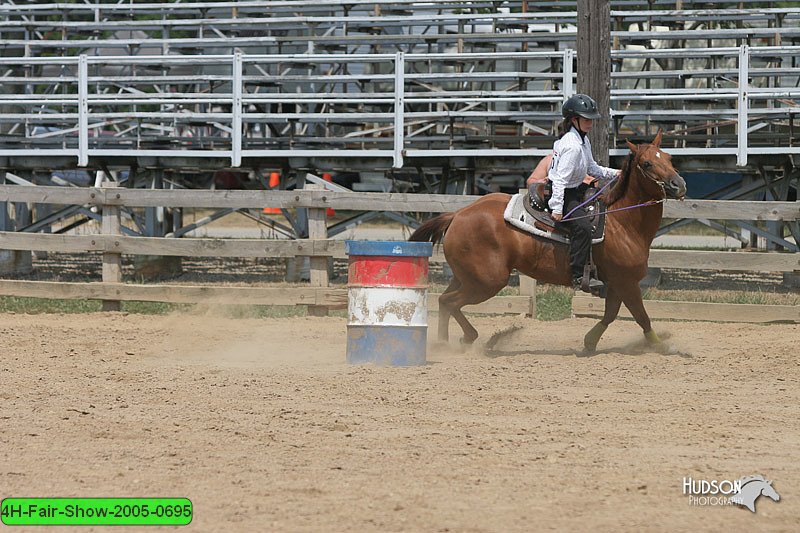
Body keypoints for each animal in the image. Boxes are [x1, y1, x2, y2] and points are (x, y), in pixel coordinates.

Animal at [410, 131, 684, 352]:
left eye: (669, 158)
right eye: (647, 163)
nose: (679, 184)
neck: (620, 221)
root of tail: (457, 215)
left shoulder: (617, 283)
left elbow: (610, 315)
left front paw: (589, 342)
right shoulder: (626, 282)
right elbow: (640, 316)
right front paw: (663, 346)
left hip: (465, 277)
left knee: (445, 302)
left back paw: (450, 341)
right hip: (486, 282)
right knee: (449, 302)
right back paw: (459, 342)